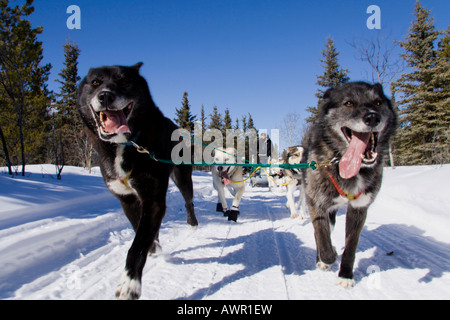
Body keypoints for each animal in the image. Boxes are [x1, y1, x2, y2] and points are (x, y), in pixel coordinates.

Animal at [77, 63, 199, 300]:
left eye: (125, 81)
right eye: (95, 82)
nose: (105, 96)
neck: (127, 145)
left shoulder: (153, 198)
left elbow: (138, 244)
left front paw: (129, 283)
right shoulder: (127, 200)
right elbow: (139, 230)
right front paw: (153, 247)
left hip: (182, 178)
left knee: (188, 200)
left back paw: (192, 223)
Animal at [300, 82, 396, 288]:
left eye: (378, 102)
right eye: (348, 103)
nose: (372, 117)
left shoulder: (359, 209)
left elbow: (351, 247)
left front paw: (346, 274)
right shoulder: (316, 203)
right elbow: (323, 240)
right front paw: (328, 257)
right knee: (321, 235)